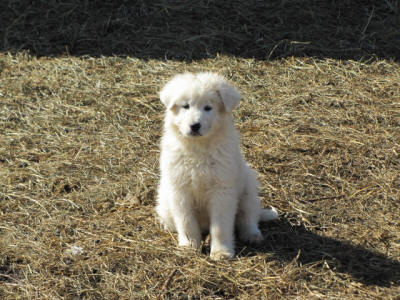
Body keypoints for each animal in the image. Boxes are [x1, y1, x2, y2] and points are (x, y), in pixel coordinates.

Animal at [156, 72, 278, 260]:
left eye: (208, 108)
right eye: (185, 106)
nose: (195, 126)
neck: (199, 148)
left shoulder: (222, 188)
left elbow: (220, 226)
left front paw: (221, 252)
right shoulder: (179, 188)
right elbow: (186, 220)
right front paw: (189, 246)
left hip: (248, 187)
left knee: (248, 216)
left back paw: (252, 235)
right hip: (163, 200)